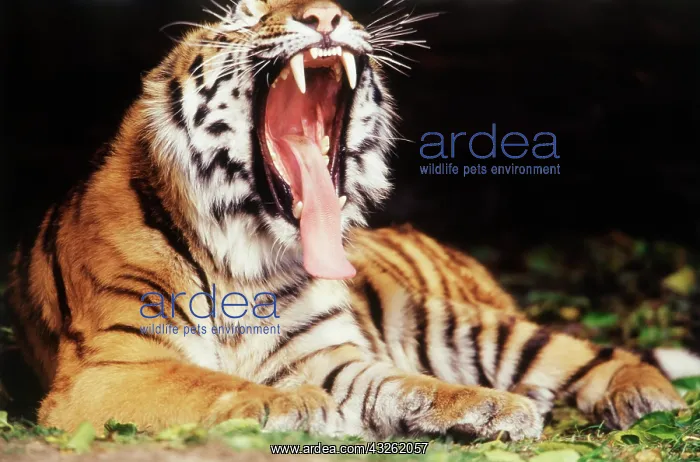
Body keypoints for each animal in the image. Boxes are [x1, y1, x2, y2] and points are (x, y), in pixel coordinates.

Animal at [7, 0, 700, 442]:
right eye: (241, 17)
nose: (326, 16)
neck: (244, 257)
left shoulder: (326, 352)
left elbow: (404, 381)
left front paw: (491, 408)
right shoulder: (112, 368)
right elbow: (203, 383)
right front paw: (291, 404)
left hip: (453, 321)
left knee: (578, 351)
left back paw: (644, 395)